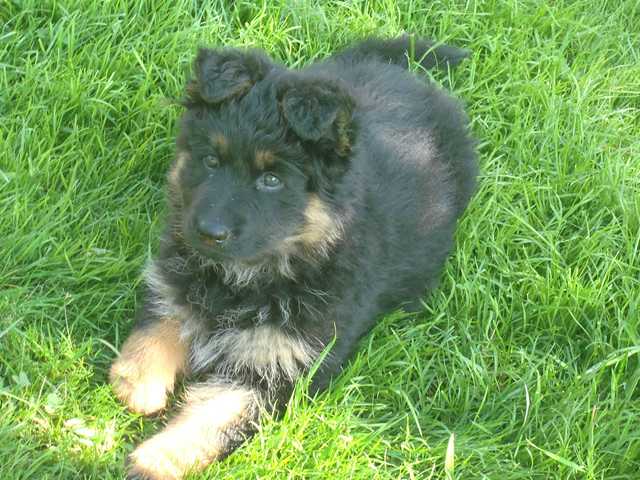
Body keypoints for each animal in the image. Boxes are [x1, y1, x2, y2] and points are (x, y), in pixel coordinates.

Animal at [109, 35, 478, 479]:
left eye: (271, 180)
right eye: (211, 160)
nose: (209, 233)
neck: (247, 277)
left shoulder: (280, 367)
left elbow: (216, 416)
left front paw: (157, 459)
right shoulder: (178, 274)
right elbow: (162, 317)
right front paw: (139, 380)